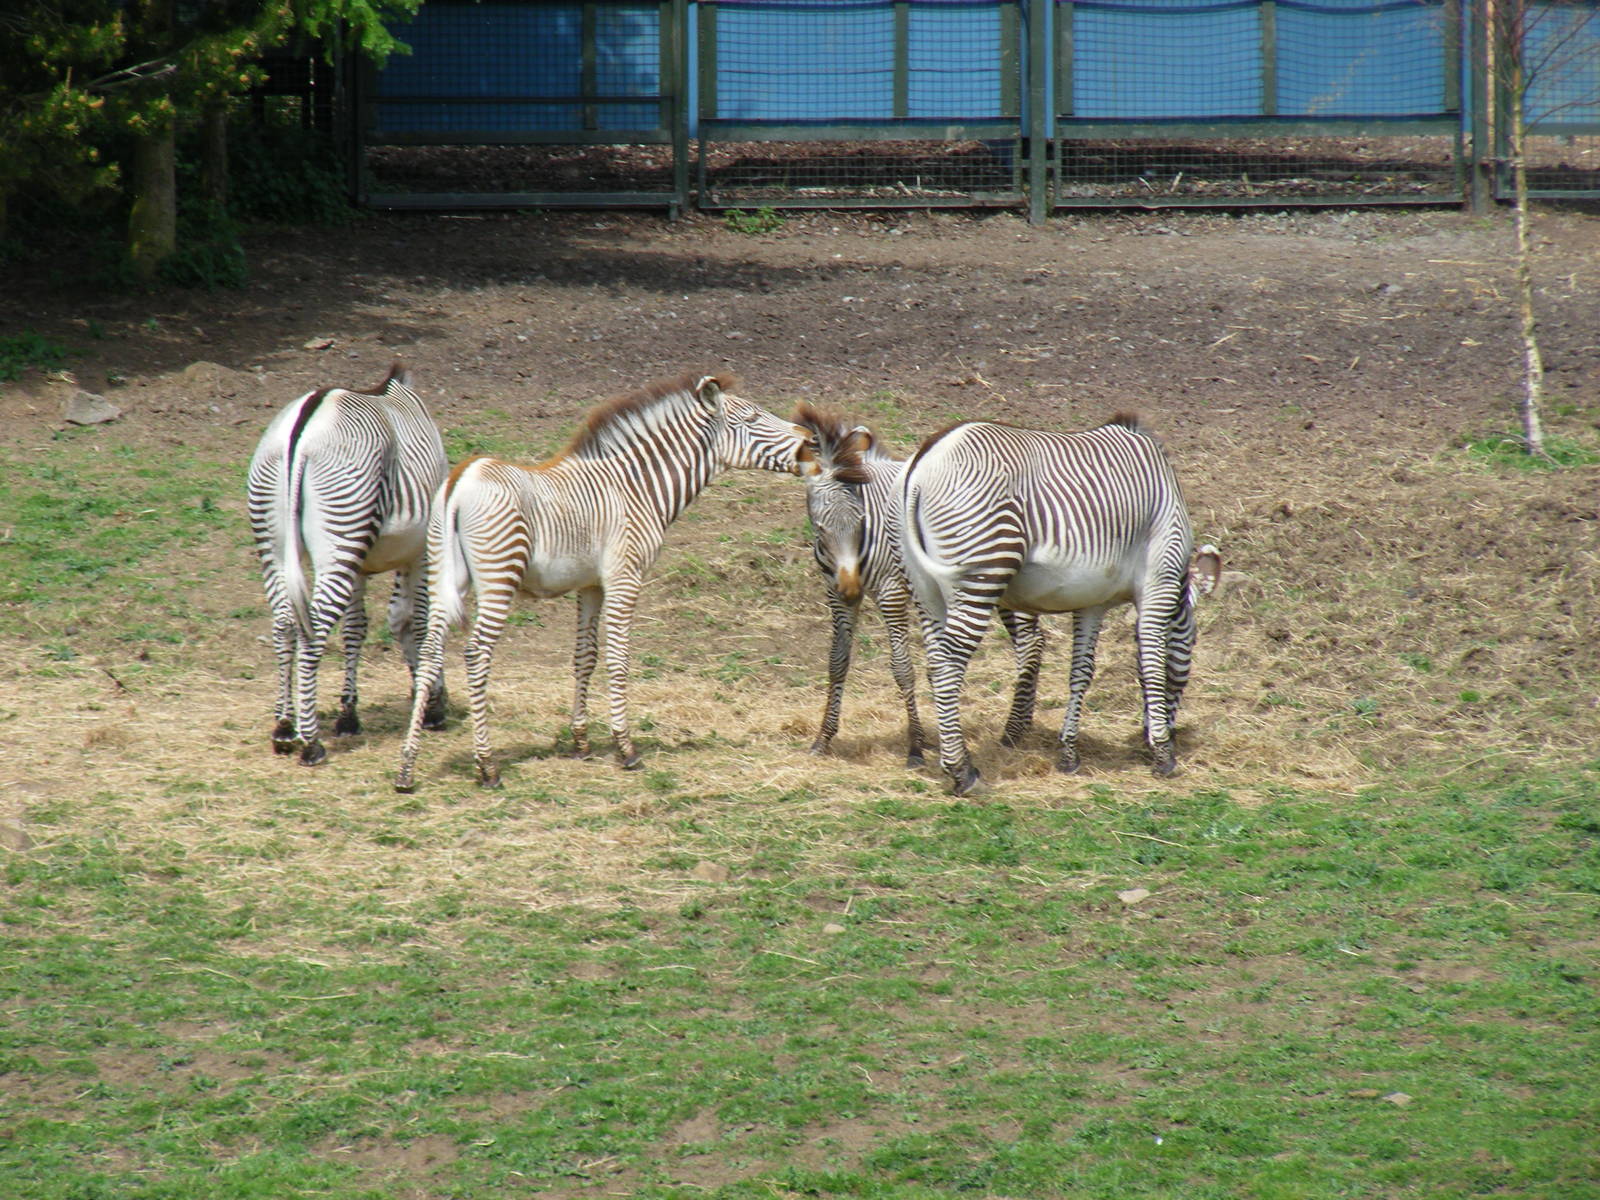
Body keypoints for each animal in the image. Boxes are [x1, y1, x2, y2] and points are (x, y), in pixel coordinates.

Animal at [246, 363, 449, 766]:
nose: (445, 703)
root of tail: (301, 432)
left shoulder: (360, 563)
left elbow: (356, 628)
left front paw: (349, 715)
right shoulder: (420, 551)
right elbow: (417, 623)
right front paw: (431, 704)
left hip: (281, 540)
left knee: (284, 625)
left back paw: (283, 727)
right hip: (342, 532)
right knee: (312, 633)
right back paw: (310, 742)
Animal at [393, 371, 808, 792]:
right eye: (752, 418)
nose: (809, 443)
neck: (636, 488)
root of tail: (460, 482)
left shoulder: (590, 584)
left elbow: (585, 657)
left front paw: (581, 741)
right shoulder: (625, 576)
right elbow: (618, 659)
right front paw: (625, 748)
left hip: (441, 574)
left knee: (429, 653)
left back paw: (407, 768)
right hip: (499, 576)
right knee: (477, 655)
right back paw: (487, 765)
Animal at [790, 404, 927, 766]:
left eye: (861, 520)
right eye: (819, 528)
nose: (851, 588)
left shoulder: (891, 591)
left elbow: (902, 667)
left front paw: (916, 746)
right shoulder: (834, 592)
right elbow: (837, 661)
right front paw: (823, 739)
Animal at [900, 414, 1221, 793]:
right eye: (1194, 641)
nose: (1169, 737)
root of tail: (927, 457)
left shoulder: (1092, 602)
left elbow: (1081, 671)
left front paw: (1069, 753)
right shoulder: (1160, 580)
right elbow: (1153, 663)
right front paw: (1162, 753)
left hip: (925, 588)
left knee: (935, 661)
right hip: (983, 569)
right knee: (947, 664)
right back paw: (962, 771)